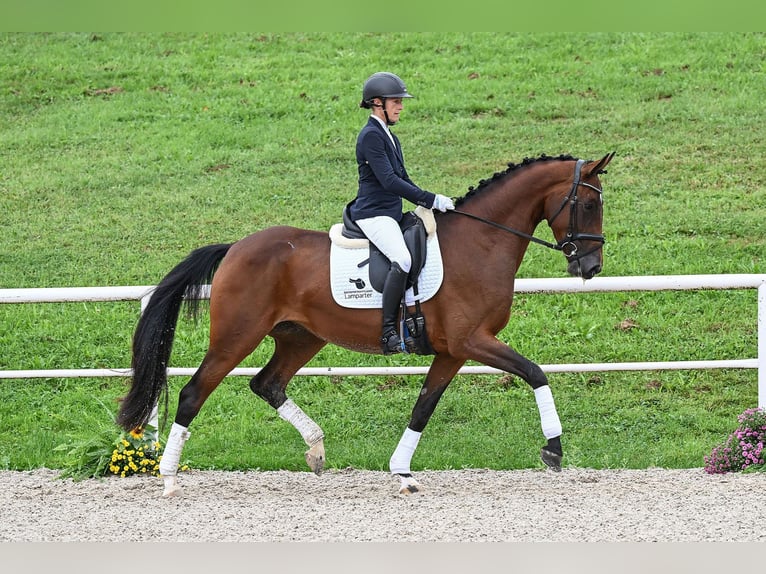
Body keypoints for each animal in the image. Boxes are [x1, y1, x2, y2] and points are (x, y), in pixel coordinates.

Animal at [115, 153, 616, 500]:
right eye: (590, 202)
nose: (590, 266)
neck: (482, 241)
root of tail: (236, 247)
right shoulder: (473, 341)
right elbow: (535, 372)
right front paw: (553, 449)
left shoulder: (452, 351)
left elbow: (423, 408)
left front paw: (402, 473)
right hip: (236, 337)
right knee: (193, 393)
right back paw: (169, 480)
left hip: (301, 338)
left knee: (267, 384)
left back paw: (316, 449)